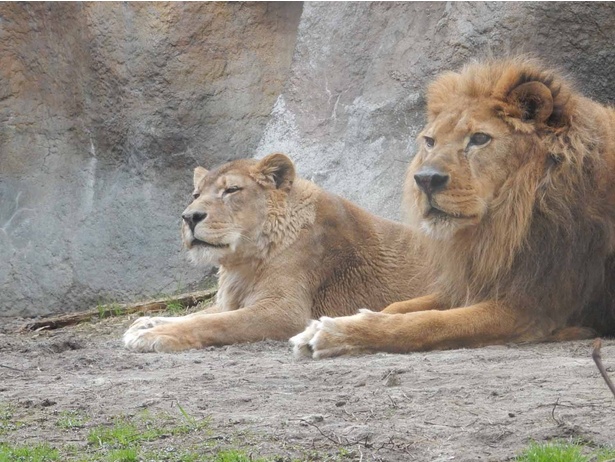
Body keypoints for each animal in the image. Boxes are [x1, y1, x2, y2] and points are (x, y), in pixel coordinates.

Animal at [122, 153, 426, 352]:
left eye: (231, 190)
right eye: (196, 195)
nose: (189, 217)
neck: (241, 263)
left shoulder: (285, 311)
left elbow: (213, 322)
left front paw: (154, 335)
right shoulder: (233, 299)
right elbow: (201, 315)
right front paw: (145, 323)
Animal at [292, 57, 615, 360]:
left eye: (480, 138)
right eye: (430, 141)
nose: (425, 179)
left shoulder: (533, 306)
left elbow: (427, 323)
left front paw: (337, 333)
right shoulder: (479, 281)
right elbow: (400, 305)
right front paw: (321, 326)